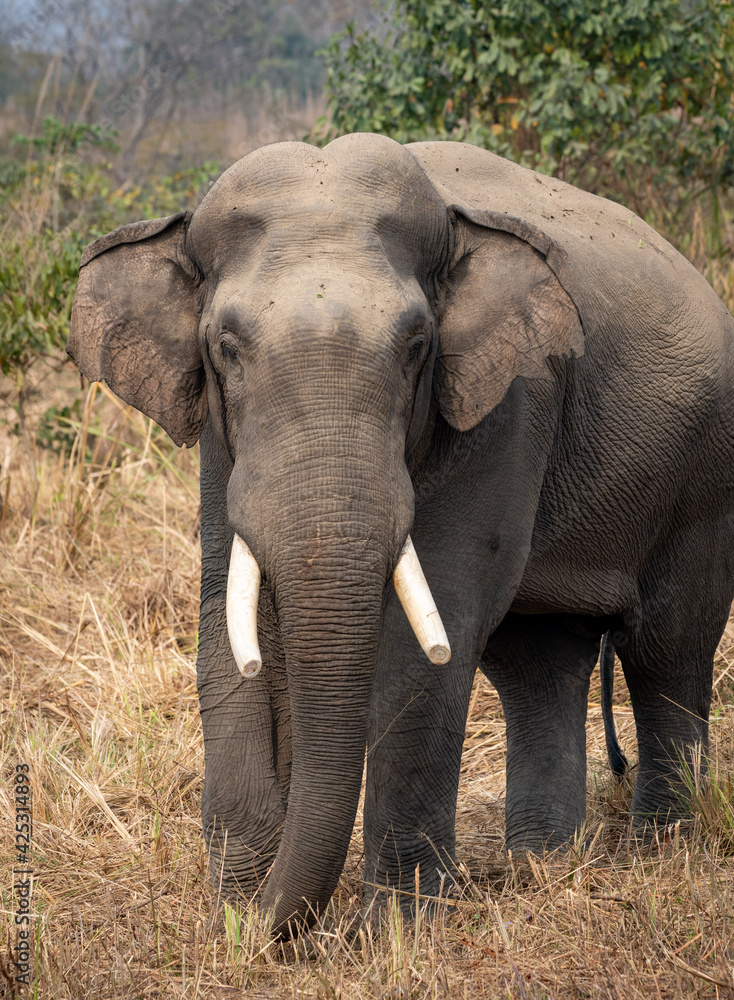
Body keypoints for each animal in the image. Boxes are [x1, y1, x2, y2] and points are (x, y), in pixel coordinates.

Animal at [67, 135, 734, 936]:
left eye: (417, 344)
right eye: (225, 346)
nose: (268, 920)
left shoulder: (510, 399)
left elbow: (428, 640)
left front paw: (394, 929)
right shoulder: (222, 441)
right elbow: (227, 622)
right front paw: (236, 912)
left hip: (705, 476)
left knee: (667, 648)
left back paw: (661, 853)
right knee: (540, 660)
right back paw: (541, 865)